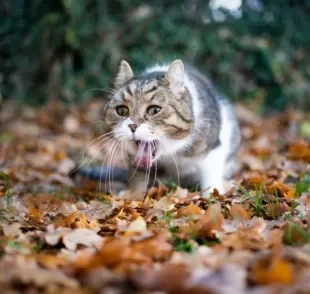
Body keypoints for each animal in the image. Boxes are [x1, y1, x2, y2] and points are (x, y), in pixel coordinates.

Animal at [81, 59, 241, 198]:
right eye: (121, 111)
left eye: (154, 110)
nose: (132, 125)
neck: (171, 152)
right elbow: (138, 175)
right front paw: (132, 195)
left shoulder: (213, 147)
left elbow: (210, 174)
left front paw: (212, 195)